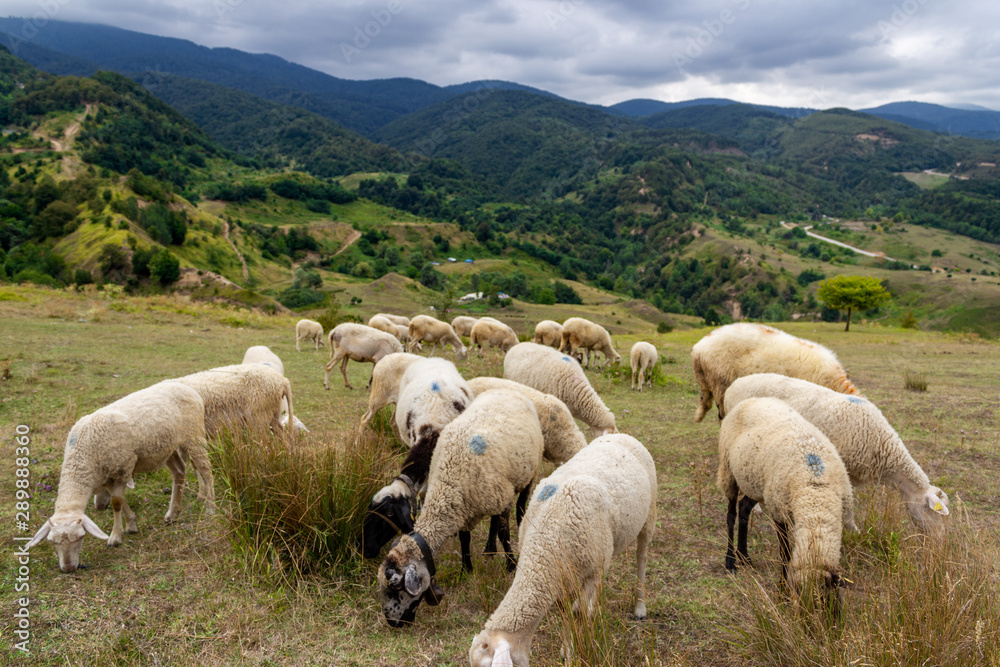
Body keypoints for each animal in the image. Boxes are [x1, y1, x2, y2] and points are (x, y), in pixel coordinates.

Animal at [25, 381, 216, 572]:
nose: (69, 568)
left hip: (195, 436)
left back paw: (211, 508)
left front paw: (115, 537)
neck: (84, 453)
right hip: (167, 448)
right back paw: (172, 513)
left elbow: (116, 502)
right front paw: (131, 523)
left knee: (206, 472)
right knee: (180, 472)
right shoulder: (108, 476)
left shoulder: (122, 468)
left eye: (81, 537)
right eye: (52, 542)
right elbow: (120, 500)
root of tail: (186, 387)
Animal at [378, 388, 545, 628]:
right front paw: (466, 569)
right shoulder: (464, 509)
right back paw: (489, 549)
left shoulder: (500, 500)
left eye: (395, 587)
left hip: (528, 474)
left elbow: (504, 533)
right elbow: (465, 539)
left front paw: (511, 565)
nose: (392, 623)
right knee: (494, 520)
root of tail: (507, 389)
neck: (447, 482)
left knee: (520, 509)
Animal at [469, 433, 657, 667]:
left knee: (642, 558)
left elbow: (579, 615)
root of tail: (618, 434)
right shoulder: (558, 576)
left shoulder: (590, 571)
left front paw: (581, 645)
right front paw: (567, 649)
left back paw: (640, 606)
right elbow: (565, 612)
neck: (545, 543)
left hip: (648, 515)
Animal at [717, 397, 854, 607]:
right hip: (728, 471)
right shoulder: (779, 510)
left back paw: (744, 556)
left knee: (744, 508)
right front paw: (783, 591)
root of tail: (752, 399)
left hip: (756, 482)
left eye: (830, 600)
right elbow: (785, 554)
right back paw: (731, 561)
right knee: (731, 514)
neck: (815, 490)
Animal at [724, 373, 950, 536]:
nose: (939, 542)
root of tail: (734, 384)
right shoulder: (841, 467)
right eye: (932, 512)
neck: (882, 445)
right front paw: (854, 531)